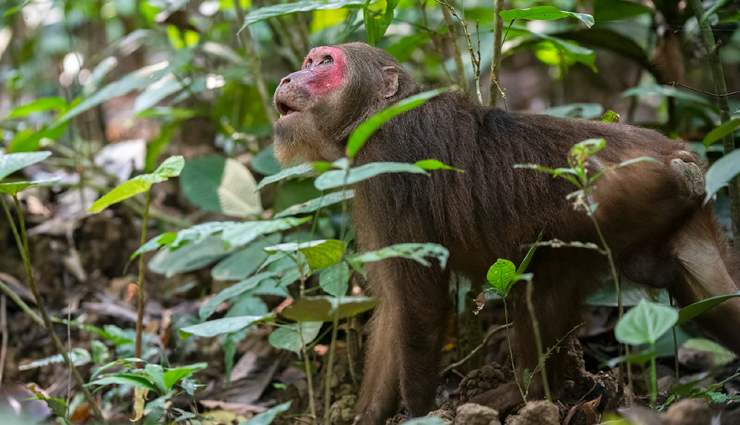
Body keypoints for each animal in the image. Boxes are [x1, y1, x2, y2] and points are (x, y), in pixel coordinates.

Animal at [271, 42, 740, 424]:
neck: (377, 117)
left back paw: (526, 394)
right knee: (715, 295)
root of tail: (678, 156)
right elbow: (392, 307)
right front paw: (368, 416)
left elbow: (419, 303)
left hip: (624, 192)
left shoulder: (388, 164)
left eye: (324, 63)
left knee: (546, 270)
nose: (287, 77)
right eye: (307, 63)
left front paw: (419, 414)